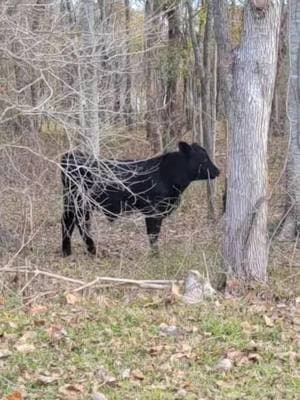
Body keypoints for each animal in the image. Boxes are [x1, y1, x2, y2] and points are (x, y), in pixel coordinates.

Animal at [61, 142, 220, 258]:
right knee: (76, 222)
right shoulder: (153, 211)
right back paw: (88, 250)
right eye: (203, 158)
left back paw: (69, 251)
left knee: (71, 222)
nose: (218, 171)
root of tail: (71, 155)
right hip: (77, 202)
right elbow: (153, 234)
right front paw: (155, 255)